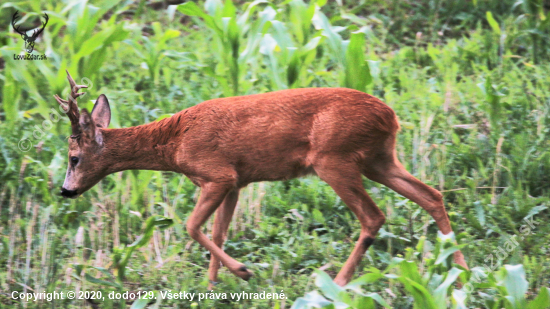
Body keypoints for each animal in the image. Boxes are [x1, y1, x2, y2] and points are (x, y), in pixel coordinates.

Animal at [55, 70, 470, 286]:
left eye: (74, 157)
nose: (65, 190)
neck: (174, 143)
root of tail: (390, 115)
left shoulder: (217, 173)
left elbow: (191, 226)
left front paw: (242, 271)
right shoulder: (237, 182)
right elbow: (219, 231)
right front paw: (212, 285)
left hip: (333, 159)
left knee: (374, 216)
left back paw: (337, 283)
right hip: (379, 158)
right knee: (431, 195)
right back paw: (462, 269)